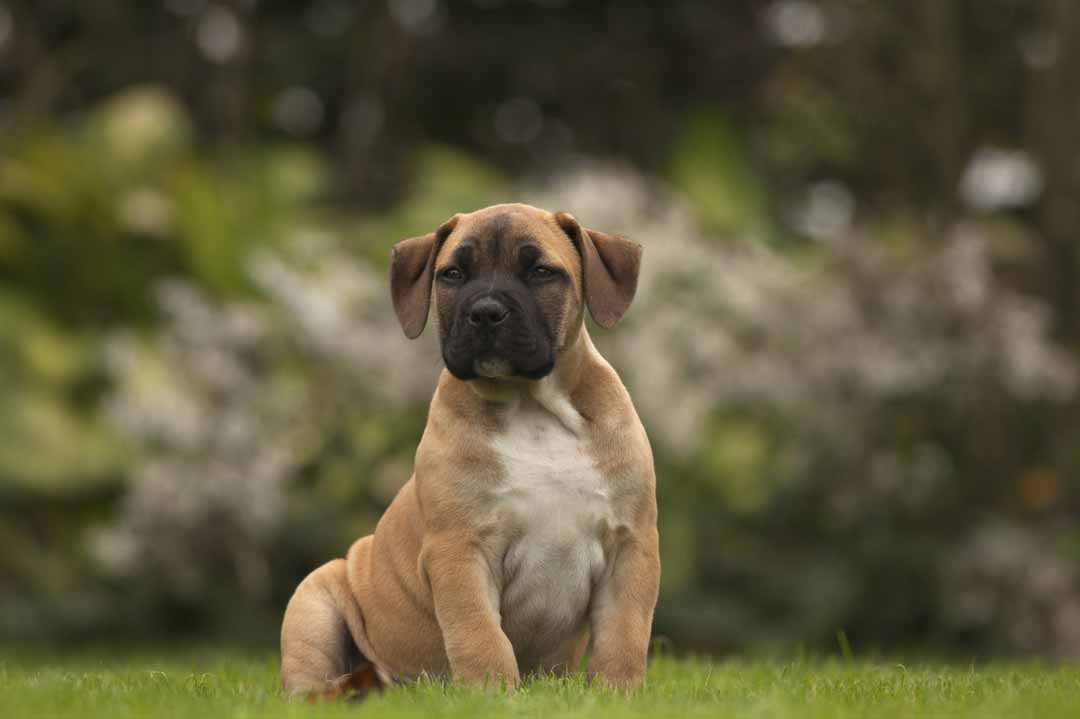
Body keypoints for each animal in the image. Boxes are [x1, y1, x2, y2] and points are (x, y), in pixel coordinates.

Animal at [278, 201, 656, 695]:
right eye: (453, 274)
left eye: (541, 271)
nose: (486, 311)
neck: (531, 407)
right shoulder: (460, 549)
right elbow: (478, 632)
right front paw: (492, 694)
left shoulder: (631, 545)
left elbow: (624, 633)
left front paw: (619, 692)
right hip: (315, 599)